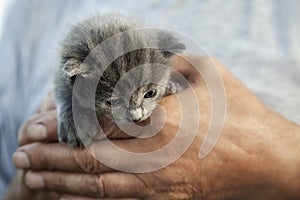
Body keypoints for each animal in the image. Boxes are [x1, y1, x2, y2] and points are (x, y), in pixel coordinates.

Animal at [54, 12, 185, 147]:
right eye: (114, 102)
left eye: (150, 94)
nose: (136, 117)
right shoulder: (61, 77)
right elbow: (64, 94)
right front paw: (74, 125)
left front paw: (170, 86)